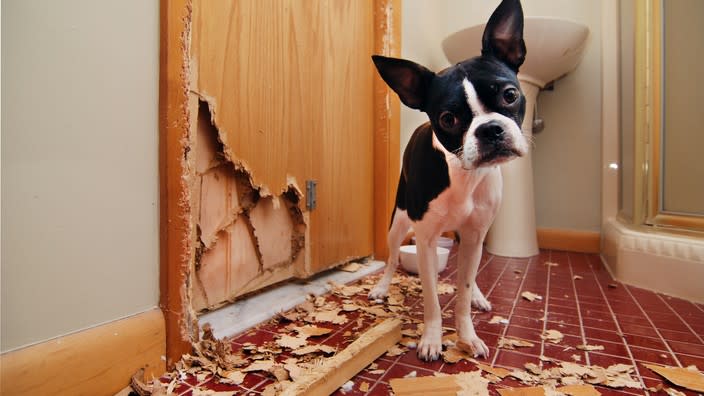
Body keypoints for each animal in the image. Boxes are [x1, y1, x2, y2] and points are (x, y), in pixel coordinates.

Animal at [372, 0, 524, 360]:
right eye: (448, 118)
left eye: (510, 95)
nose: (490, 129)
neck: (463, 176)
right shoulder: (425, 241)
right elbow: (432, 300)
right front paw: (432, 339)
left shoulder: (473, 235)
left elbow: (463, 293)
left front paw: (467, 337)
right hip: (397, 223)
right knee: (391, 258)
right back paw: (382, 286)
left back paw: (480, 295)